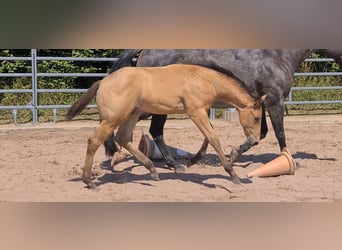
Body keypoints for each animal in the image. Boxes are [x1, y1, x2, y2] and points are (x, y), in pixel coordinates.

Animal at [65, 63, 266, 188]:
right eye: (257, 118)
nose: (255, 140)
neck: (204, 79)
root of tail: (103, 81)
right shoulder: (196, 111)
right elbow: (213, 138)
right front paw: (233, 174)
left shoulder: (201, 111)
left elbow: (208, 137)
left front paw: (193, 160)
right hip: (114, 118)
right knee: (94, 141)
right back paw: (89, 181)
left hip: (132, 114)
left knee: (122, 138)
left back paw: (152, 170)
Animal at [104, 48, 342, 171]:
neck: (276, 57)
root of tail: (146, 50)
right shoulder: (275, 102)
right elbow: (280, 134)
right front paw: (289, 161)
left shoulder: (259, 105)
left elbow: (261, 134)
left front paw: (232, 155)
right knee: (150, 129)